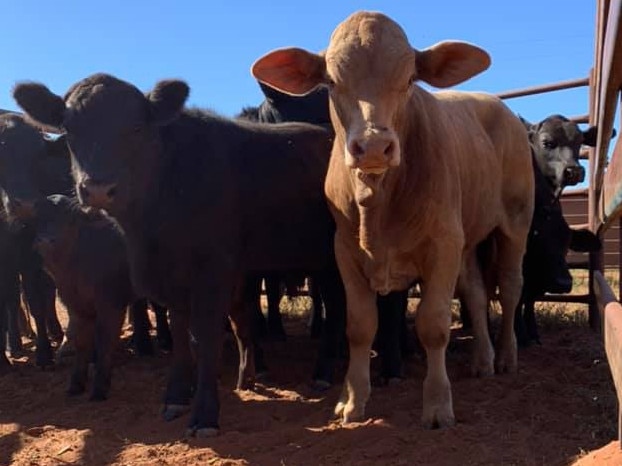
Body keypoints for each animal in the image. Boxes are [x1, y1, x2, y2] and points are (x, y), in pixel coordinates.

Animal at [32, 195, 132, 398]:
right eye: (39, 218)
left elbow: (105, 340)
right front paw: (76, 383)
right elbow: (81, 342)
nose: (45, 241)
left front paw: (100, 386)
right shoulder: (76, 306)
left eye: (70, 219)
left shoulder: (112, 305)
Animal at [251, 10, 532, 428]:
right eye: (331, 81)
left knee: (512, 287)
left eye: (410, 79)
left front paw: (437, 405)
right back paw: (483, 360)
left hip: (516, 221)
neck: (378, 205)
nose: (372, 146)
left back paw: (508, 356)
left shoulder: (442, 245)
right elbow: (359, 326)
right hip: (465, 239)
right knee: (476, 292)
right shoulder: (345, 252)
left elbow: (434, 325)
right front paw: (353, 400)